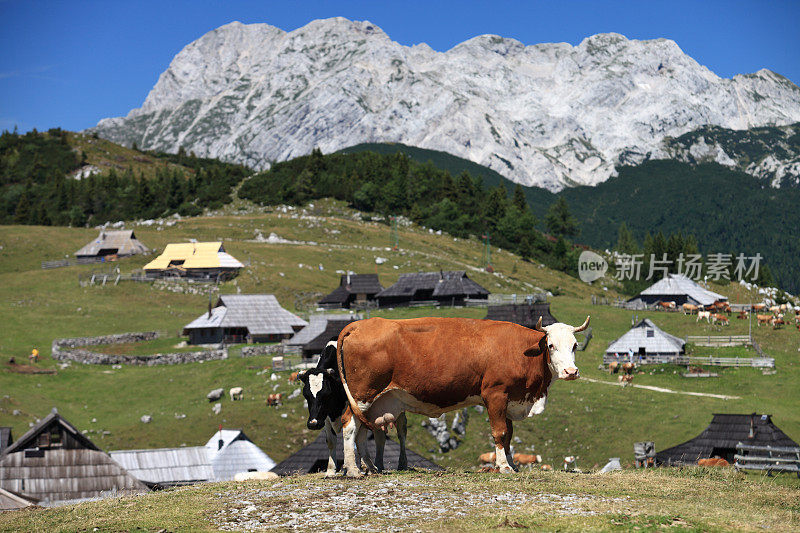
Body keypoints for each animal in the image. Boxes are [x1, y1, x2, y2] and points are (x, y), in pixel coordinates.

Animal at [334, 314, 592, 472]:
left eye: (575, 345)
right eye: (551, 345)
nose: (571, 372)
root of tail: (360, 324)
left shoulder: (509, 398)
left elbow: (509, 436)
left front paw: (510, 464)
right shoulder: (495, 395)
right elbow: (499, 432)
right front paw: (504, 467)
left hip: (374, 401)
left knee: (361, 429)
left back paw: (369, 467)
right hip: (362, 394)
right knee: (349, 425)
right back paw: (354, 470)